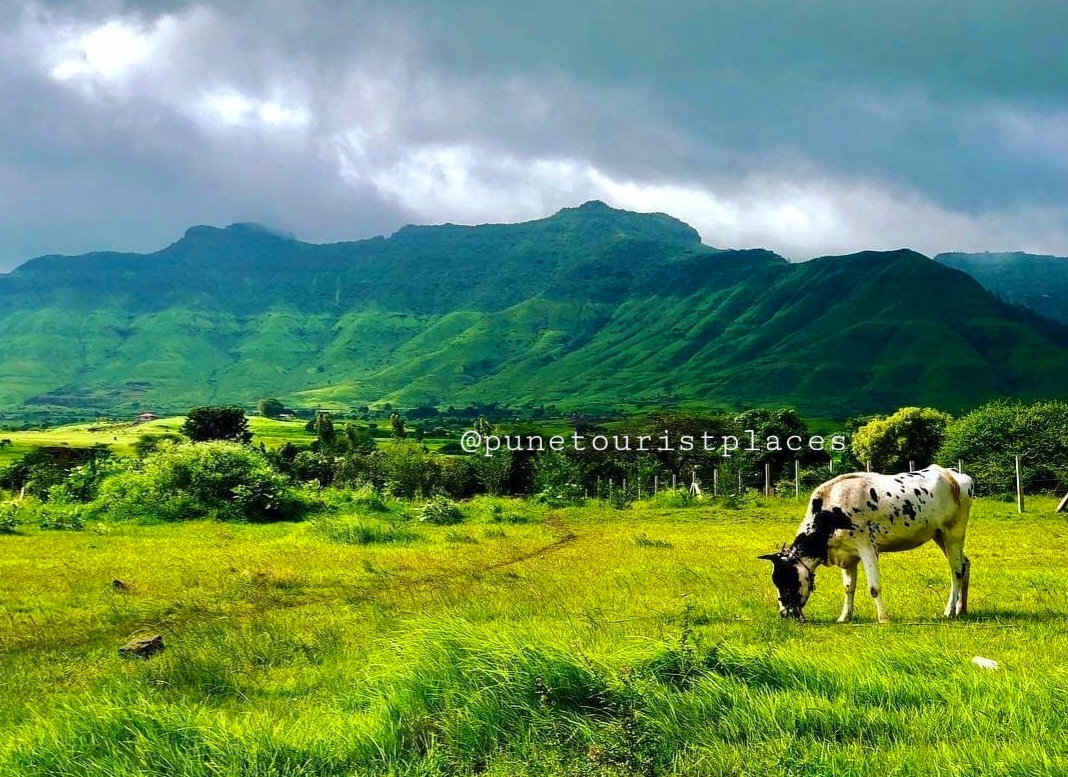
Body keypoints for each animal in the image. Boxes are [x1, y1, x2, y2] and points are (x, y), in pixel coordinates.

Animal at [756, 465, 974, 623]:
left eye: (785, 580)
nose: (784, 613)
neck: (832, 512)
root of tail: (952, 474)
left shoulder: (867, 547)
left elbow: (874, 587)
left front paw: (883, 619)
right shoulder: (846, 555)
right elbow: (848, 587)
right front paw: (844, 617)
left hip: (953, 532)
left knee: (956, 570)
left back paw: (948, 611)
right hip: (939, 535)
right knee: (965, 563)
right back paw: (961, 609)